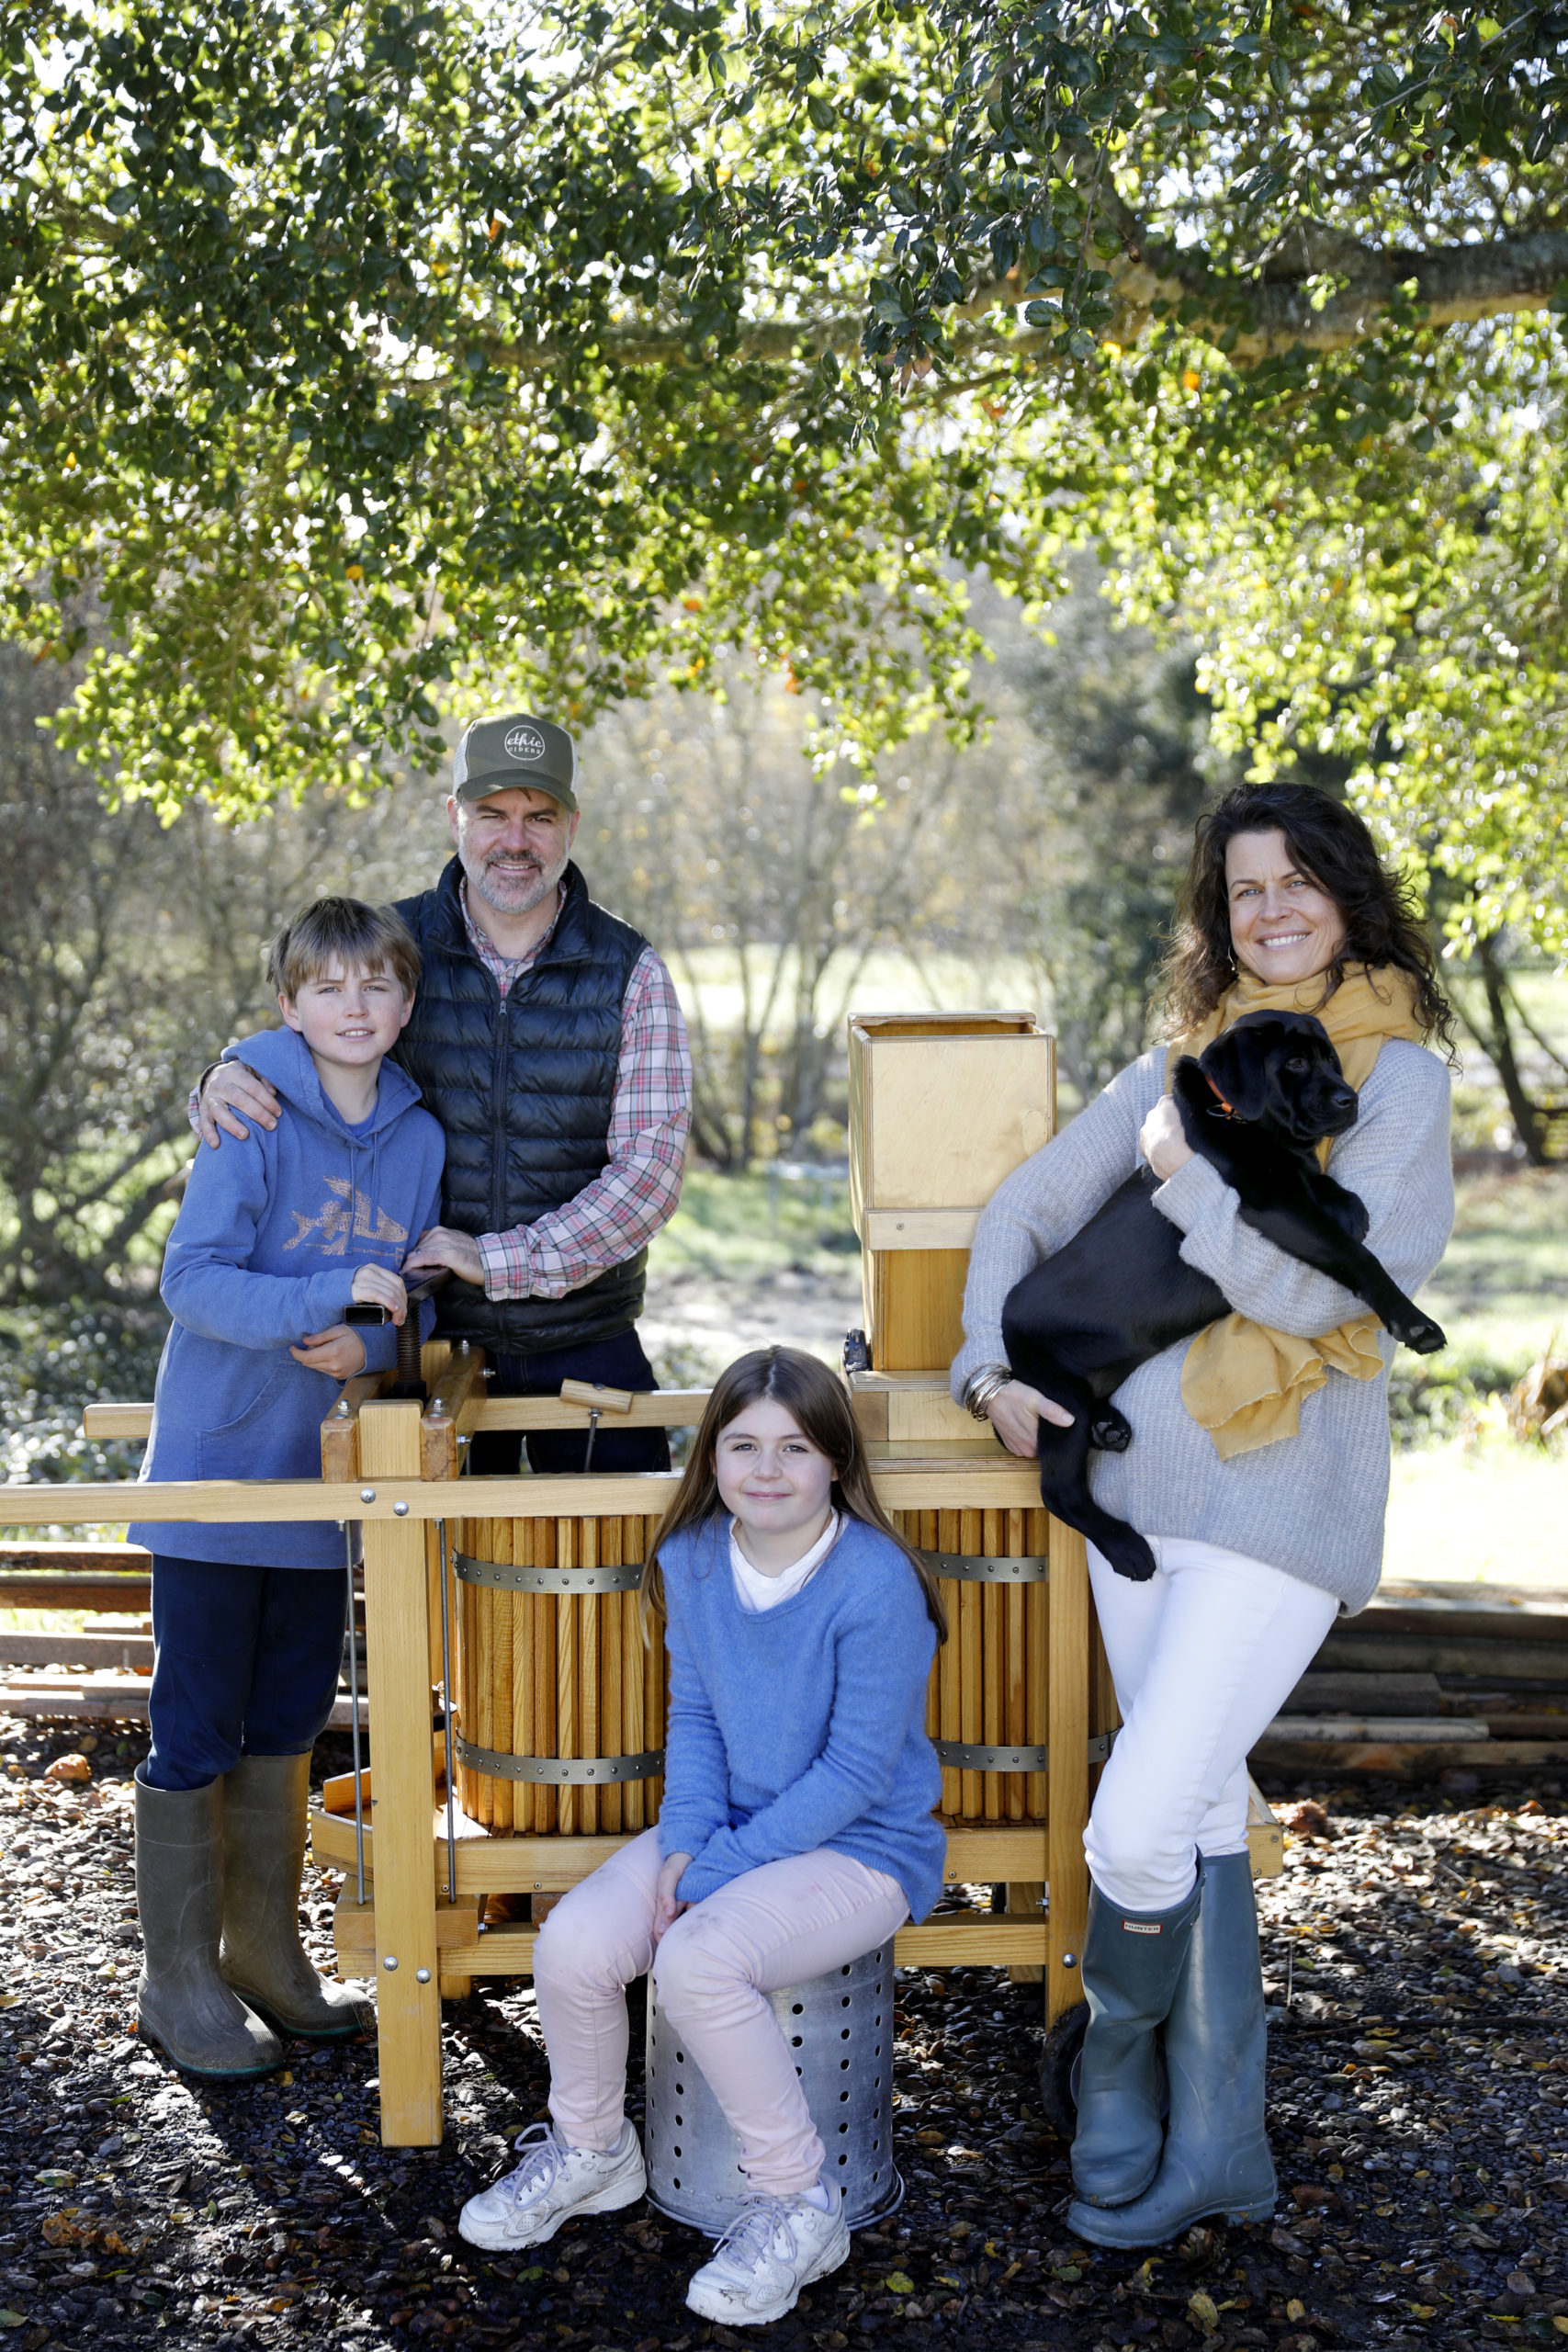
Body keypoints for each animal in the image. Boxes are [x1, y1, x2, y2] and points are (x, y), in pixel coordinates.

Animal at [1006, 1011, 1448, 1580]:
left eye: (1331, 1059)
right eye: (1296, 1062)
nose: (1350, 1099)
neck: (1242, 1121)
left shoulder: (1291, 1184)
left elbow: (1325, 1188)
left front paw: (1347, 1202)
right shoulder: (1273, 1201)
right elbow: (1356, 1255)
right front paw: (1412, 1321)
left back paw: (1110, 1427)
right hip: (1058, 1396)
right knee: (1058, 1491)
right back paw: (1126, 1545)